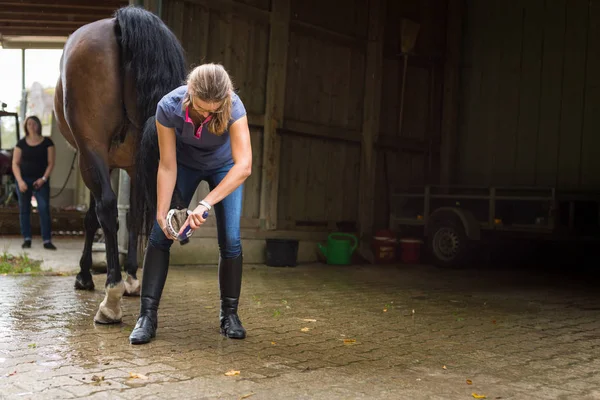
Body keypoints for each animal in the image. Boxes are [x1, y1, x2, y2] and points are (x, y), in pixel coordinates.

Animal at [53, 6, 186, 324]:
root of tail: (118, 23)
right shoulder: (131, 166)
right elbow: (134, 216)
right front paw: (132, 279)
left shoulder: (94, 160)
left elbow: (94, 217)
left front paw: (85, 275)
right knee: (139, 213)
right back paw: (128, 284)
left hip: (92, 149)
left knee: (107, 207)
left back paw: (110, 300)